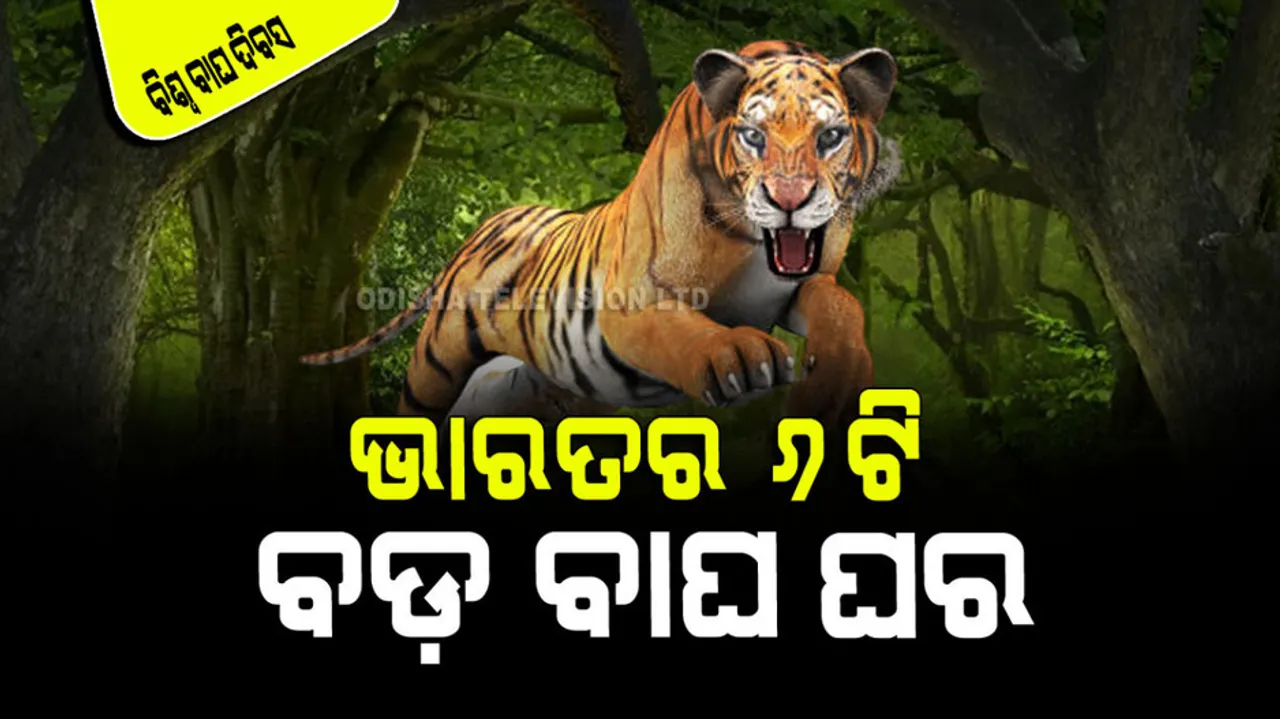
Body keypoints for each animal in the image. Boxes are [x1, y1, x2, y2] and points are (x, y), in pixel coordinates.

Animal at [300, 39, 901, 430]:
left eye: (830, 136)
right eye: (753, 136)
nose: (789, 200)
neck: (755, 246)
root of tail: (482, 227)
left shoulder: (804, 283)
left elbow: (841, 305)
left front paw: (840, 379)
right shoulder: (631, 299)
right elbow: (677, 329)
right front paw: (735, 355)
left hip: (509, 389)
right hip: (436, 363)